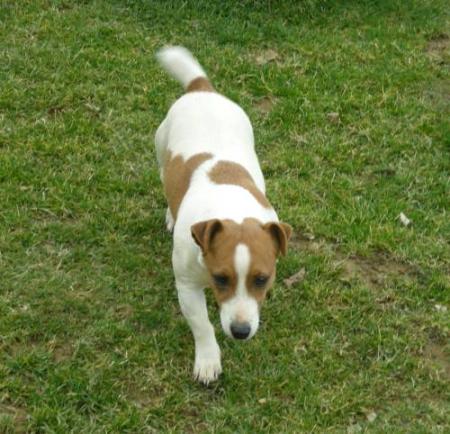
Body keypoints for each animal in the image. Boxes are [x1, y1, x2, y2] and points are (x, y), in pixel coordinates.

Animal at [155, 46, 292, 384]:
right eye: (220, 278)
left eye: (262, 279)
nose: (241, 331)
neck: (231, 209)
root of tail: (201, 88)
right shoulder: (187, 285)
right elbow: (202, 324)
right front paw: (208, 359)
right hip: (160, 148)